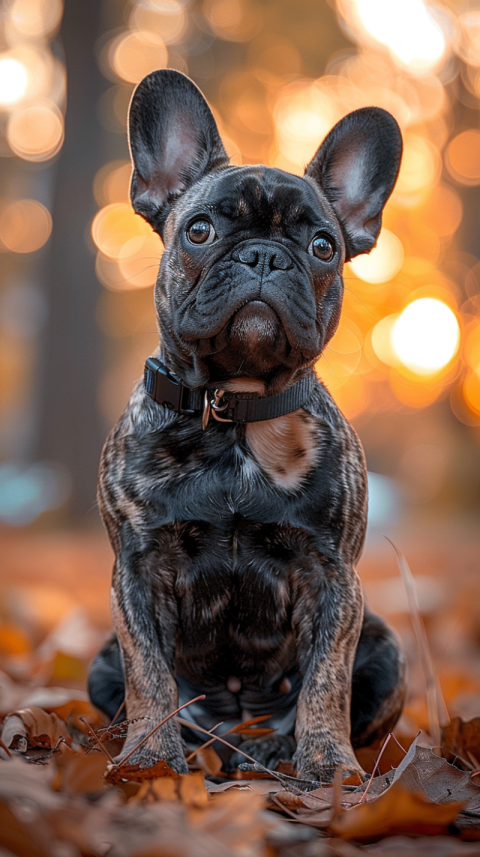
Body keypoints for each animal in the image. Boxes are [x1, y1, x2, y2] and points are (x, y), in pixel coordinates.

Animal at [87, 70, 404, 780]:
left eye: (323, 247)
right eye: (200, 230)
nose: (263, 257)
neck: (233, 413)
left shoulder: (333, 579)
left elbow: (326, 680)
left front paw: (328, 765)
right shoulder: (137, 574)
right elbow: (149, 675)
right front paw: (151, 759)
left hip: (387, 648)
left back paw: (272, 749)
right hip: (100, 661)